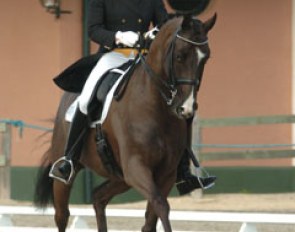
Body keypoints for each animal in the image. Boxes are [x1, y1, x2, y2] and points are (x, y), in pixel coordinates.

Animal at [34, 14, 217, 232]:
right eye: (180, 55)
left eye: (206, 58)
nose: (186, 108)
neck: (155, 106)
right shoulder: (136, 167)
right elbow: (161, 205)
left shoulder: (165, 174)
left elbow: (151, 218)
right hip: (67, 173)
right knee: (62, 214)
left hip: (119, 176)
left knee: (98, 197)